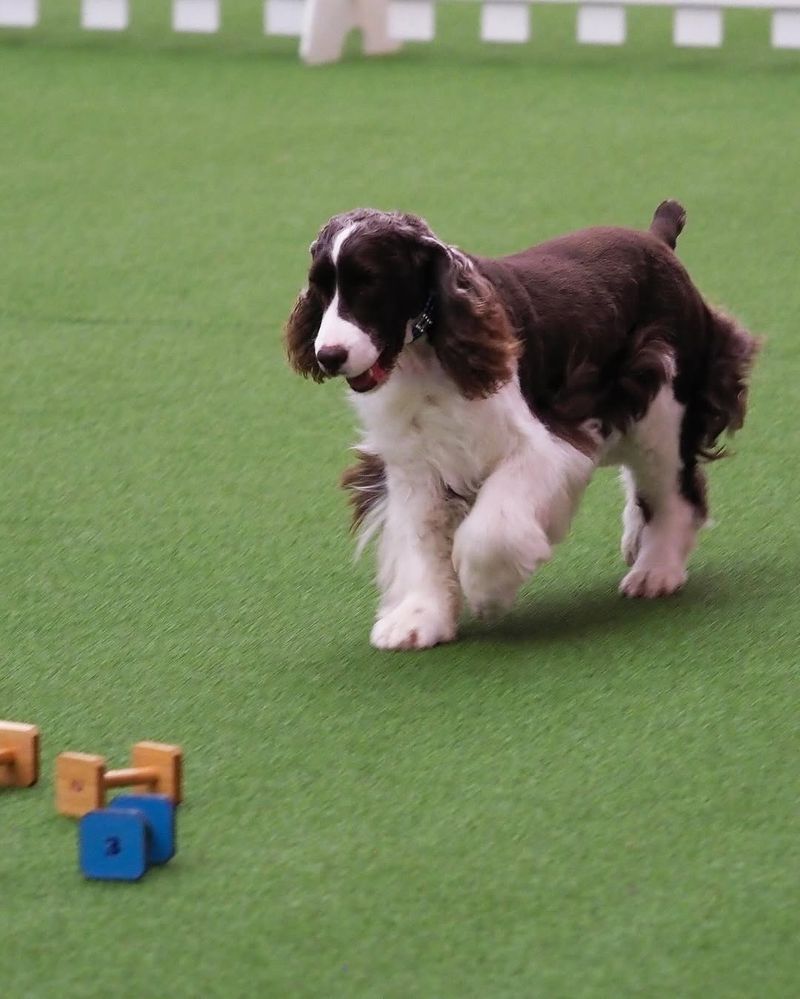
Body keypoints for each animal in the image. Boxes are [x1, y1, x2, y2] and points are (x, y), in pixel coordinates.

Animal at [284, 207, 760, 652]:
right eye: (321, 289)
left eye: (370, 283)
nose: (328, 355)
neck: (425, 353)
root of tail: (656, 239)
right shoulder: (413, 461)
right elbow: (418, 538)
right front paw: (416, 621)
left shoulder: (543, 444)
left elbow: (489, 531)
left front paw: (487, 593)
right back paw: (635, 538)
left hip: (663, 397)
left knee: (674, 490)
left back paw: (655, 571)